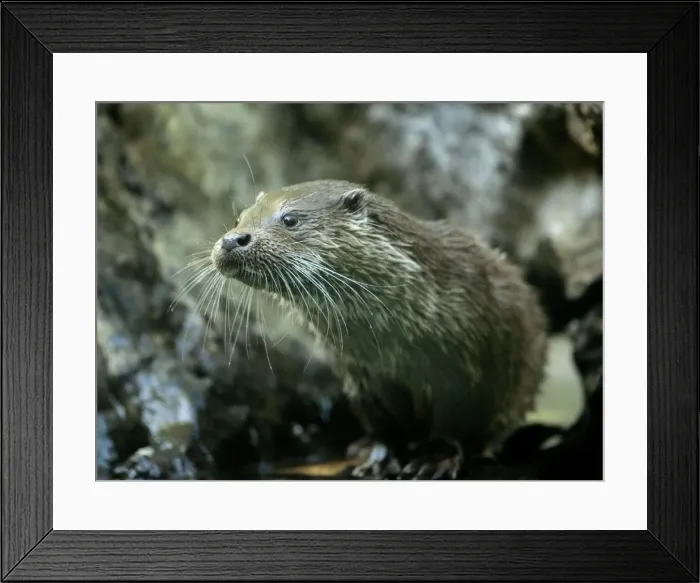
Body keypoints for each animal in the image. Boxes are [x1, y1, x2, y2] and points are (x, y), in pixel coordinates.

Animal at [210, 179, 549, 479]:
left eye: (290, 219)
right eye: (239, 218)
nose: (232, 239)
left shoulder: (466, 368)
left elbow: (454, 422)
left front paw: (434, 460)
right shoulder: (362, 376)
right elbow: (383, 427)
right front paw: (379, 459)